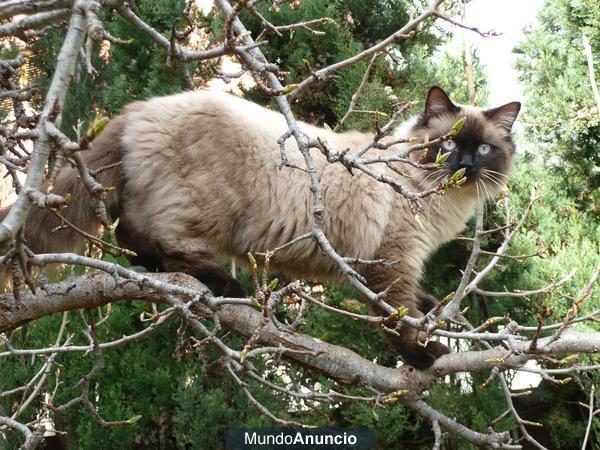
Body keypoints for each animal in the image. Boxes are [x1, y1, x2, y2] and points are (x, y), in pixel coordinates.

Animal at [9, 85, 520, 370]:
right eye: (448, 143)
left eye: (484, 149)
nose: (465, 165)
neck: (440, 202)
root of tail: (139, 108)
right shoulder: (390, 262)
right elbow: (398, 317)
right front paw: (424, 356)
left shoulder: (394, 264)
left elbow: (419, 302)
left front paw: (436, 312)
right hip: (207, 211)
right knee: (169, 246)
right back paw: (223, 285)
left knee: (130, 237)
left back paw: (154, 269)